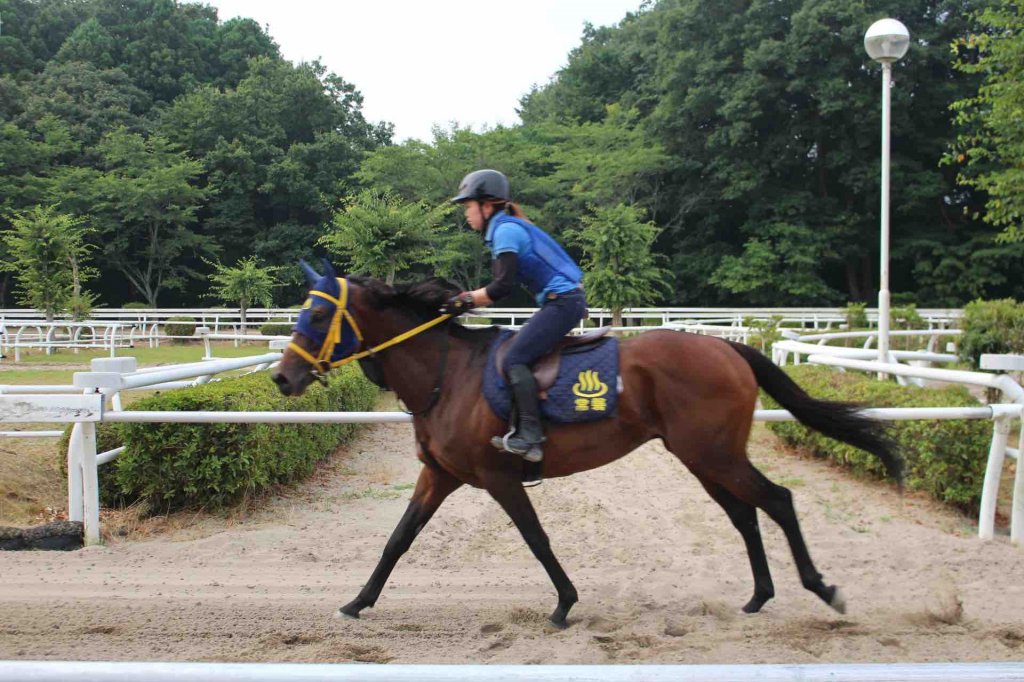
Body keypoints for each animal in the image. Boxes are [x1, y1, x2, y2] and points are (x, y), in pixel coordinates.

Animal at [274, 261, 905, 626]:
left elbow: (536, 539)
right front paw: (358, 601)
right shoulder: (440, 475)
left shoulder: (500, 478)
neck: (446, 376)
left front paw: (563, 603)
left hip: (713, 454)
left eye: (317, 316)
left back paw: (820, 588)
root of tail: (727, 347)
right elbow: (397, 541)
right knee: (745, 514)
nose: (282, 377)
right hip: (703, 457)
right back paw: (759, 596)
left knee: (777, 501)